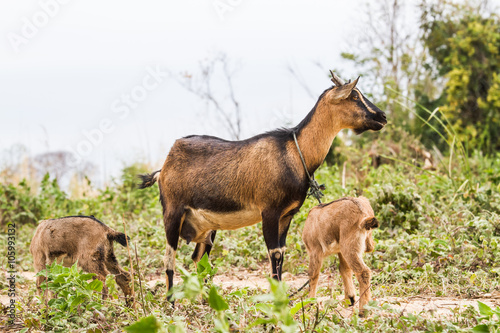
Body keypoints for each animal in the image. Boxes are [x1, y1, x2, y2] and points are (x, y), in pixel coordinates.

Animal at [141, 71, 386, 300]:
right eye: (354, 95)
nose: (382, 116)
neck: (294, 151)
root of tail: (163, 169)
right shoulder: (269, 211)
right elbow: (275, 254)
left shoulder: (287, 215)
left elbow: (282, 253)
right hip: (172, 212)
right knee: (169, 259)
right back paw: (171, 304)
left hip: (206, 226)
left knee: (198, 258)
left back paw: (205, 300)